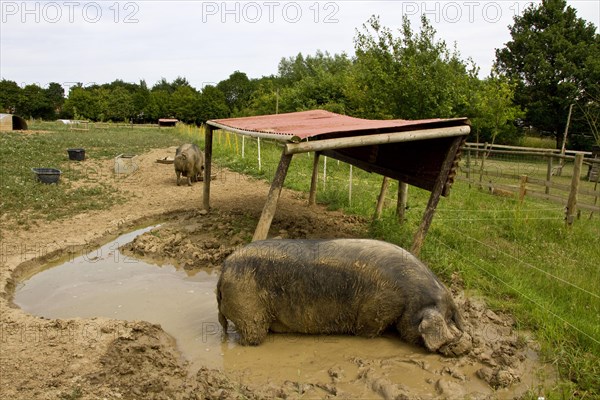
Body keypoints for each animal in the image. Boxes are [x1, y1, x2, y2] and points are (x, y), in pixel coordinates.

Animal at [216, 239, 474, 354]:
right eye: (448, 321)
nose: (466, 347)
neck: (410, 297)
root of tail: (225, 267)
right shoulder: (376, 310)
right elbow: (368, 332)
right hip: (249, 309)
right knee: (251, 337)